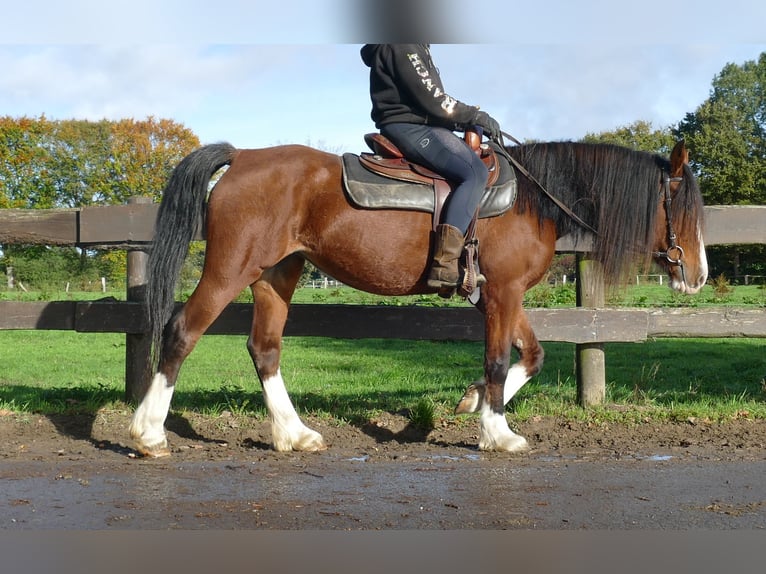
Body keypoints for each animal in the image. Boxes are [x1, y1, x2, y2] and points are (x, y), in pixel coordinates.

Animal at [128, 139, 708, 457]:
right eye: (681, 209)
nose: (699, 276)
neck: (532, 200)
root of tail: (243, 157)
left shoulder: (501, 296)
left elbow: (532, 356)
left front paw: (474, 403)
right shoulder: (503, 294)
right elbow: (499, 360)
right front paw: (497, 431)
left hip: (277, 274)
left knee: (264, 349)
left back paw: (294, 434)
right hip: (231, 268)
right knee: (182, 332)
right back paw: (149, 433)